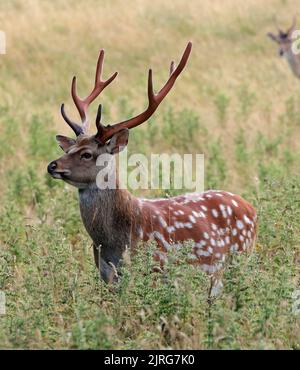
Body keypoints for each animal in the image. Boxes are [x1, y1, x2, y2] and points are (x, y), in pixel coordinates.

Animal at [48, 42, 256, 298]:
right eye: (69, 148)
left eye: (87, 154)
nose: (52, 165)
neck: (116, 242)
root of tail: (251, 208)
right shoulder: (107, 278)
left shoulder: (156, 269)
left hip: (241, 256)